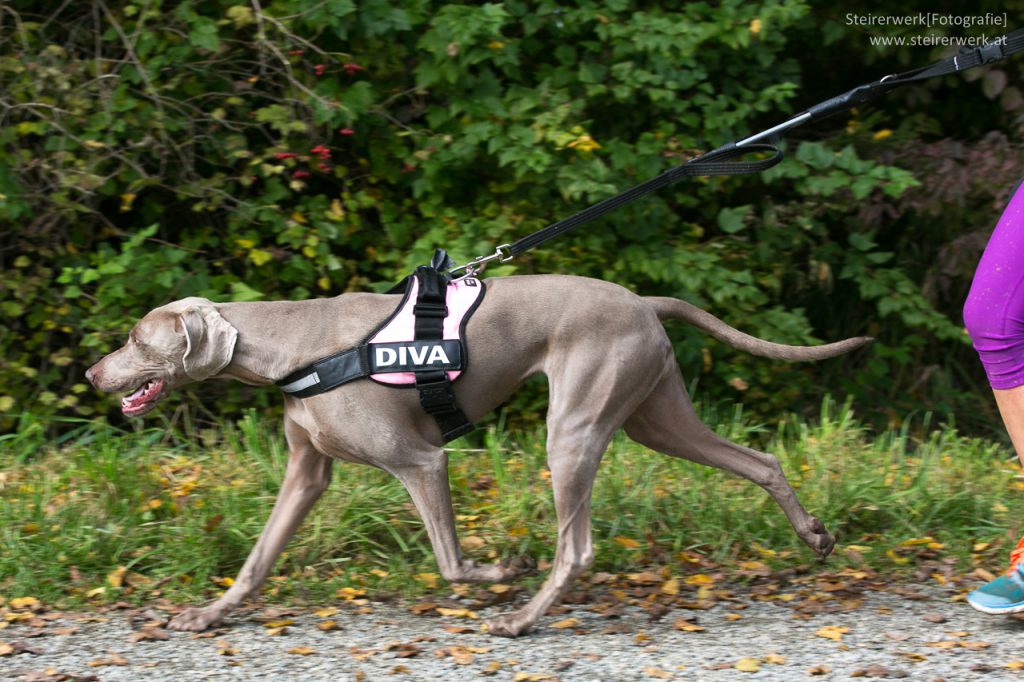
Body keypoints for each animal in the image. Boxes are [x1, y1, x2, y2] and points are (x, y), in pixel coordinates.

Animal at [88, 274, 868, 634]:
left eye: (134, 336)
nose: (92, 375)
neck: (294, 347)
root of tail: (644, 301)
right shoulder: (306, 474)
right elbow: (257, 559)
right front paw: (206, 615)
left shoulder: (420, 461)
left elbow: (451, 563)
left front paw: (500, 572)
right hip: (656, 417)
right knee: (761, 462)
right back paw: (815, 535)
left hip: (574, 427)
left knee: (577, 547)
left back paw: (521, 617)